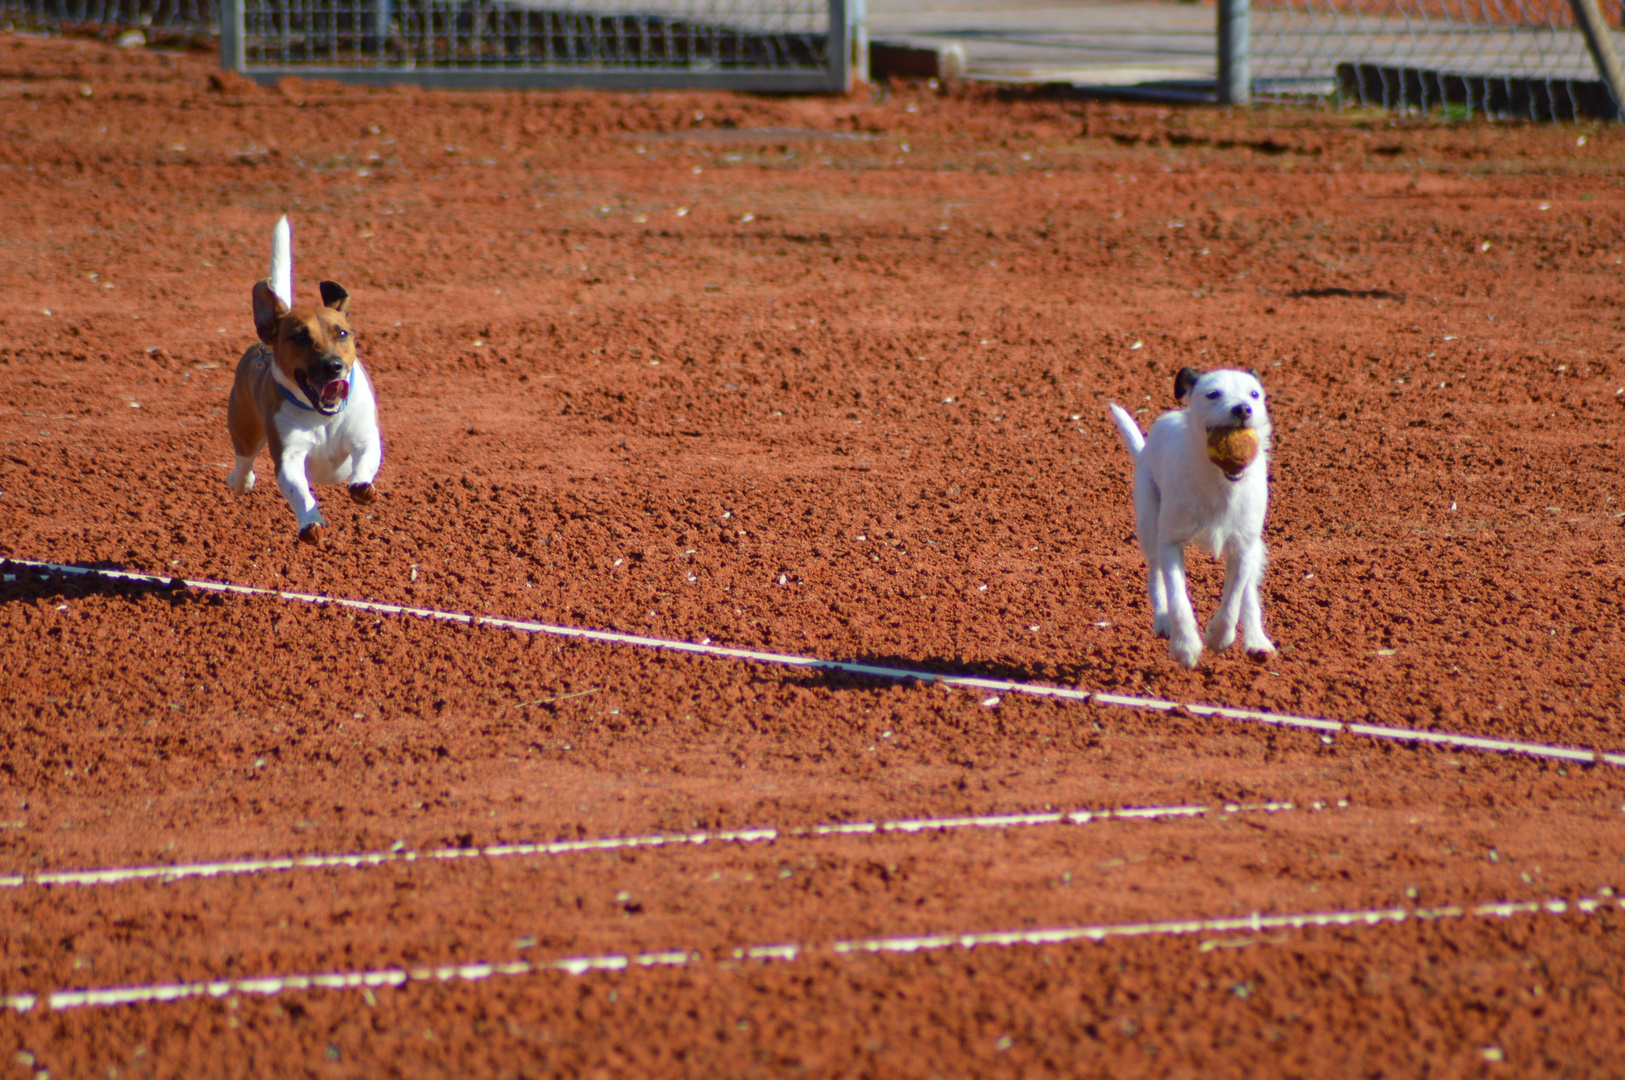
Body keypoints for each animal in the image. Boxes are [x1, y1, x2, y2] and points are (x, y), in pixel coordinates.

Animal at [225, 216, 383, 542]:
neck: (322, 416)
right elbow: (298, 490)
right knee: (244, 461)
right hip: (243, 425)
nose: (333, 366)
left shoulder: (363, 437)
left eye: (342, 333)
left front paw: (362, 486)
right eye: (299, 337)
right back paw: (239, 481)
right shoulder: (289, 457)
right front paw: (310, 523)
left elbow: (366, 459)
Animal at [1111, 368, 1274, 665]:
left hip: (1256, 548)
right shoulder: (1170, 543)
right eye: (1213, 394)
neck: (1220, 484)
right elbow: (1177, 597)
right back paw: (1163, 620)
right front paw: (1185, 645)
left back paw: (1257, 641)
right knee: (1155, 576)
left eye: (1254, 394)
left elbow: (1234, 597)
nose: (1243, 408)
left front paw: (1219, 637)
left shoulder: (1244, 548)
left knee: (1248, 592)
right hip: (1150, 527)